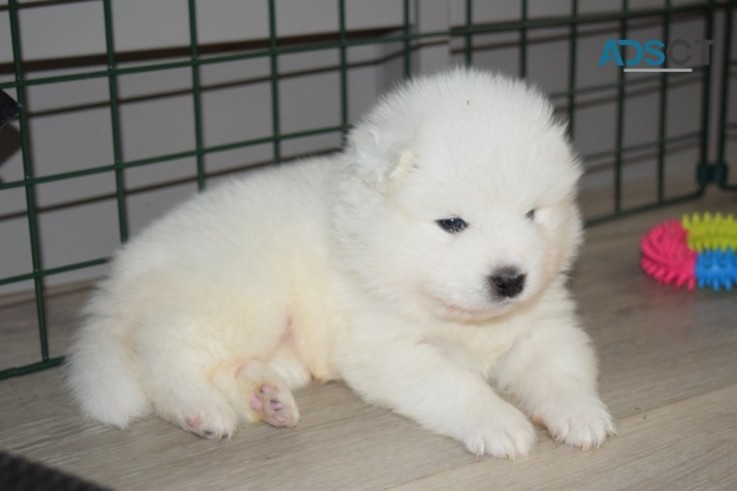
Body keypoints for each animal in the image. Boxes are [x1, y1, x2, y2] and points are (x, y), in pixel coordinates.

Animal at [66, 67, 612, 460]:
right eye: (453, 223)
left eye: (532, 214)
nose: (510, 280)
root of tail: (119, 276)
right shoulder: (390, 349)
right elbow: (456, 385)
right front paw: (500, 423)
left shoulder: (543, 323)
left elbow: (560, 368)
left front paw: (581, 414)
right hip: (239, 296)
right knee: (164, 356)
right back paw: (202, 410)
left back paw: (266, 398)